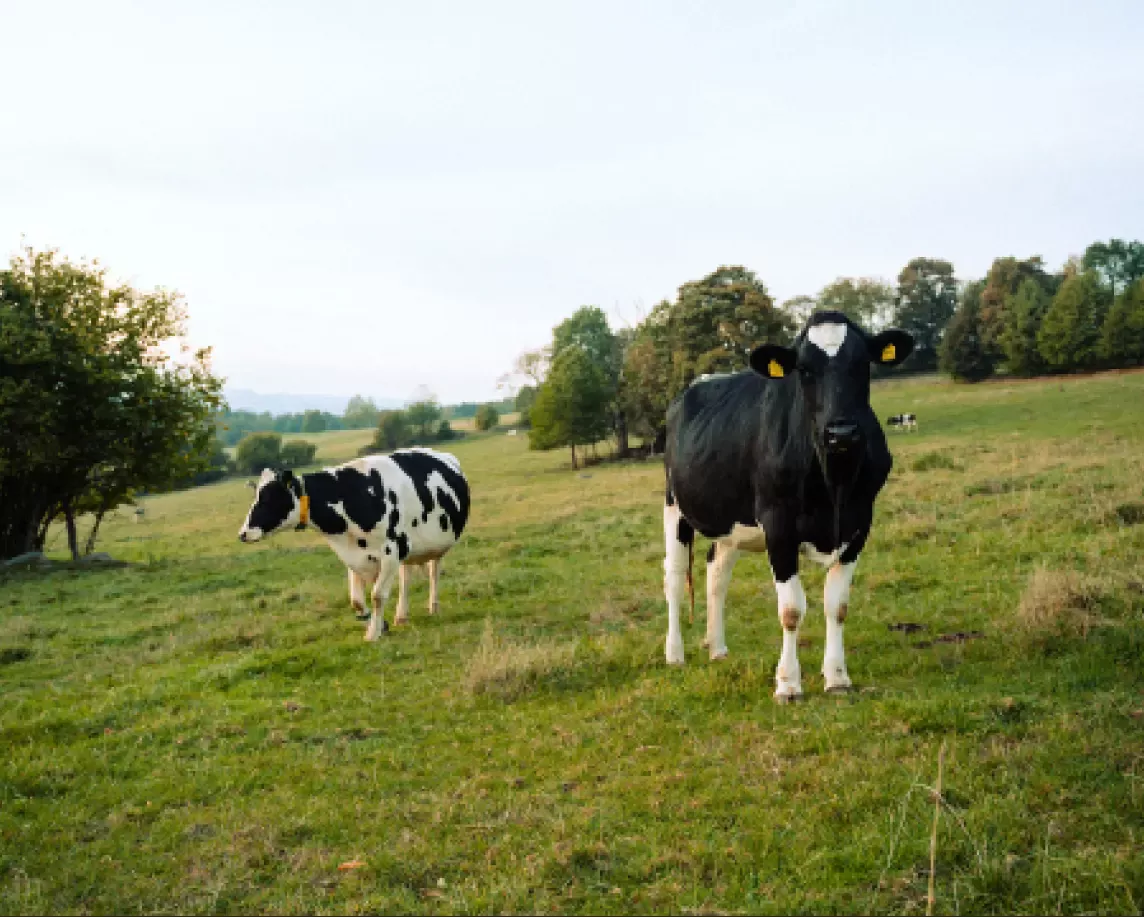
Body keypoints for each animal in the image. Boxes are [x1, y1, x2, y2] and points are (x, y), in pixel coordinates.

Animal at [237, 448, 470, 641]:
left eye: (269, 498)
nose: (243, 534)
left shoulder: (392, 550)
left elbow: (377, 595)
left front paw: (373, 634)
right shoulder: (354, 554)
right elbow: (356, 600)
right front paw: (380, 624)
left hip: (434, 544)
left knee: (433, 572)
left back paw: (433, 606)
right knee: (406, 577)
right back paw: (401, 616)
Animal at [662, 311, 914, 701]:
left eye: (862, 364)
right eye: (804, 370)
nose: (841, 433)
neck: (833, 483)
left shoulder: (859, 524)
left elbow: (837, 605)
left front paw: (837, 677)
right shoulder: (777, 525)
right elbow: (792, 609)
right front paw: (788, 683)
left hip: (732, 522)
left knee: (717, 573)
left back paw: (717, 648)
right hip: (675, 506)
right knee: (674, 578)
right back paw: (675, 654)